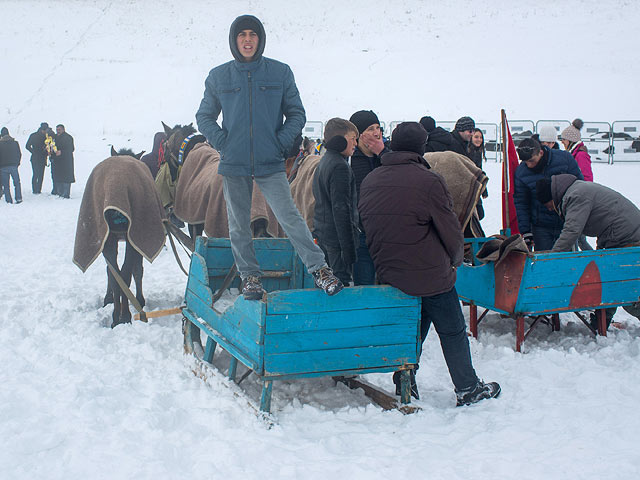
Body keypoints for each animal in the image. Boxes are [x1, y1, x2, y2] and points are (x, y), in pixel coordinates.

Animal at [73, 148, 168, 328]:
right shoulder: (115, 239)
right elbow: (123, 272)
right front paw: (120, 307)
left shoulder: (129, 239)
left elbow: (127, 272)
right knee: (119, 274)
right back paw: (121, 315)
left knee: (122, 274)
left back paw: (121, 315)